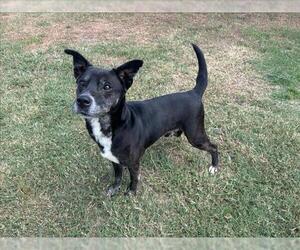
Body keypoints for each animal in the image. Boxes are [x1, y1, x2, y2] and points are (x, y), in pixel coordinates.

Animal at [65, 44, 219, 196]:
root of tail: (193, 92)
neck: (115, 125)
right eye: (81, 83)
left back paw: (214, 166)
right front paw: (114, 189)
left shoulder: (134, 163)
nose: (82, 100)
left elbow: (134, 179)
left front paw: (131, 193)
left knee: (214, 146)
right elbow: (118, 176)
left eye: (107, 86)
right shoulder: (114, 159)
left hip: (195, 136)